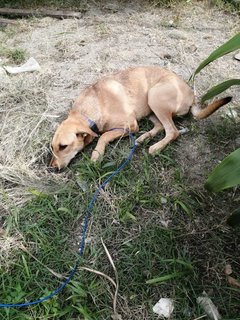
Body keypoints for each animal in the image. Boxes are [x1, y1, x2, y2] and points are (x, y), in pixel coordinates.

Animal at [49, 66, 232, 169]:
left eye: (63, 146)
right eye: (53, 148)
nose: (53, 168)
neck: (89, 109)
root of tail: (192, 95)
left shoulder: (130, 125)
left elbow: (104, 135)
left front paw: (96, 154)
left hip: (154, 96)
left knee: (173, 131)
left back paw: (156, 147)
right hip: (151, 109)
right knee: (161, 126)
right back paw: (143, 138)